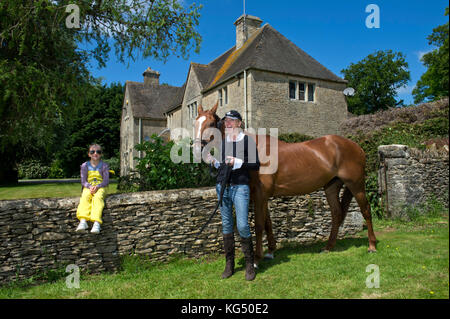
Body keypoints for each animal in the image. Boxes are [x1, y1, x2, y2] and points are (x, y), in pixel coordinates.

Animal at [193, 104, 376, 266]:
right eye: (195, 122)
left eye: (211, 124)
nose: (196, 150)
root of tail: (357, 146)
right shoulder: (259, 195)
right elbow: (267, 223)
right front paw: (270, 251)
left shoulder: (260, 195)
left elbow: (259, 225)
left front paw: (257, 259)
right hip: (331, 187)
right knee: (337, 214)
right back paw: (328, 247)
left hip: (356, 185)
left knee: (366, 210)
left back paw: (372, 246)